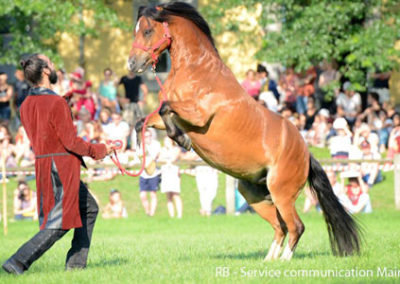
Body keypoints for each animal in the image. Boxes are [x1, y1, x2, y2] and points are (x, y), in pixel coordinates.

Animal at [128, 2, 360, 260]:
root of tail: (307, 155)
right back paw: (268, 260)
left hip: (282, 193)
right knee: (280, 227)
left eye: (147, 31)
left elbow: (166, 110)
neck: (197, 72)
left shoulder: (198, 114)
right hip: (254, 194)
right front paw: (145, 160)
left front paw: (183, 140)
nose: (132, 64)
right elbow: (142, 122)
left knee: (296, 226)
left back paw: (284, 261)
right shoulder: (166, 116)